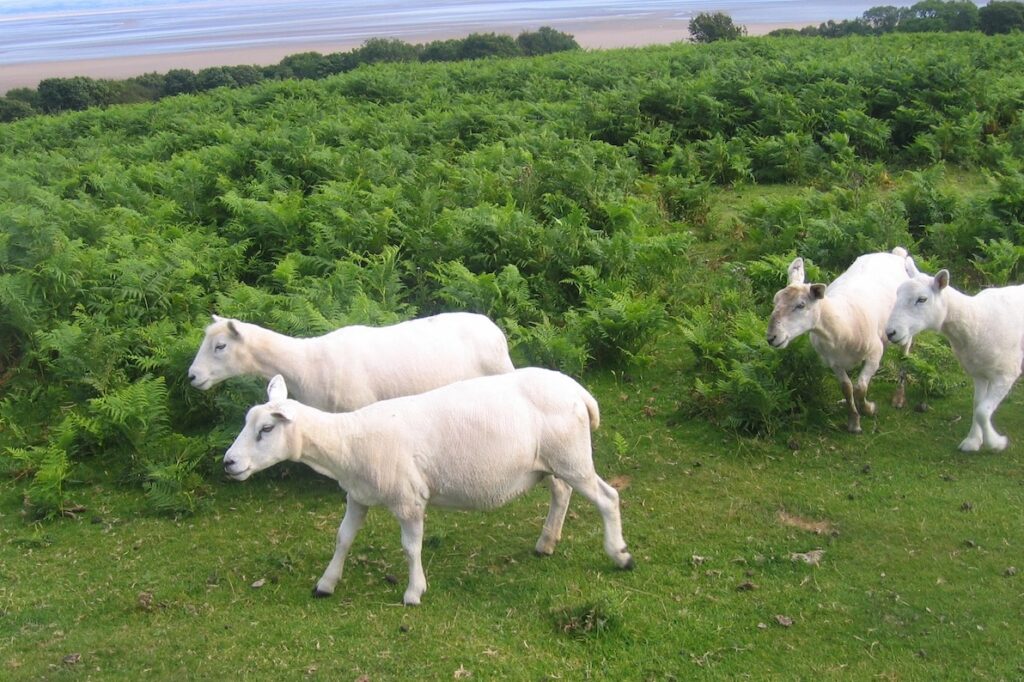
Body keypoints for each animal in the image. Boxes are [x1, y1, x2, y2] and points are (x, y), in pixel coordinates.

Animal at [222, 370, 634, 605]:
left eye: (266, 429)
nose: (229, 463)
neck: (348, 442)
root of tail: (579, 392)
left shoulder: (409, 499)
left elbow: (410, 547)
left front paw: (413, 592)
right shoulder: (358, 496)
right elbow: (343, 538)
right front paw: (326, 583)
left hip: (572, 456)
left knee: (607, 497)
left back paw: (620, 555)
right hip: (550, 461)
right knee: (561, 493)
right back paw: (546, 544)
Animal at [766, 247, 912, 433]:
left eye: (801, 305)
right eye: (775, 301)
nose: (771, 337)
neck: (841, 326)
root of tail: (894, 254)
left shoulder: (874, 353)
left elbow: (860, 388)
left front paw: (868, 409)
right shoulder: (833, 361)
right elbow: (847, 388)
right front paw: (854, 421)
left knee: (904, 356)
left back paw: (899, 396)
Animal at [885, 262, 1024, 451]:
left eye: (922, 299)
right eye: (897, 294)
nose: (890, 333)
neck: (977, 320)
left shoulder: (1006, 373)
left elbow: (982, 411)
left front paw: (996, 443)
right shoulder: (979, 373)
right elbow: (977, 405)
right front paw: (973, 441)